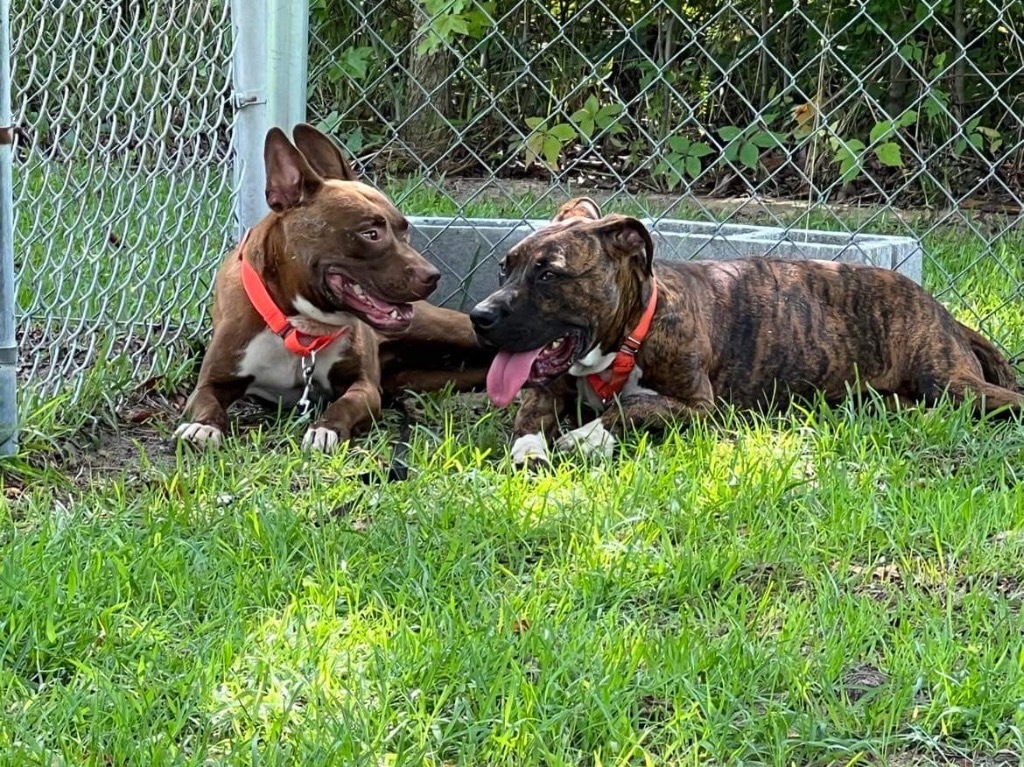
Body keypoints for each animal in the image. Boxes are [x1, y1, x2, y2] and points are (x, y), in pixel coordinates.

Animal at [176, 122, 487, 452]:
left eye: (405, 231)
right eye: (371, 233)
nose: (433, 275)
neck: (302, 325)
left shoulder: (365, 387)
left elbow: (345, 404)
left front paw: (325, 429)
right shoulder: (211, 382)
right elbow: (207, 402)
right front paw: (203, 426)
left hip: (450, 330)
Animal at [468, 198, 1019, 460]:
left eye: (549, 274)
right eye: (504, 269)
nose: (480, 316)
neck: (627, 338)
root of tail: (944, 313)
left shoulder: (699, 407)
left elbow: (633, 407)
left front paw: (587, 436)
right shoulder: (547, 384)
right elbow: (533, 411)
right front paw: (530, 447)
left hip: (948, 380)